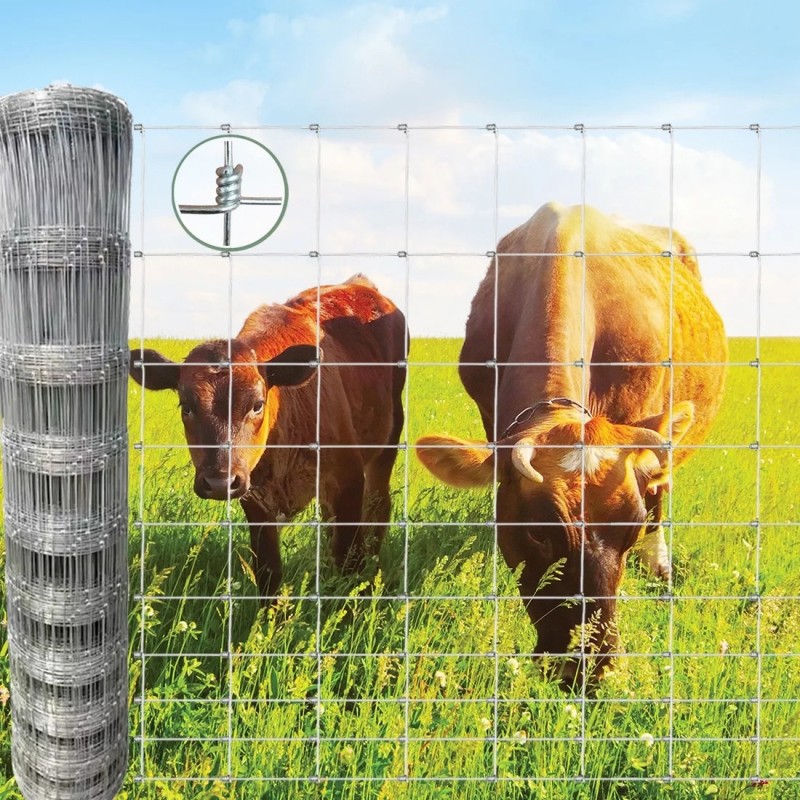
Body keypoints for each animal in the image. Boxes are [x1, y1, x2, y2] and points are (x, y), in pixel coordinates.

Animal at [130, 274, 407, 601]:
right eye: (186, 406)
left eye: (257, 404)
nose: (219, 482)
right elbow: (269, 573)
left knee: (378, 507)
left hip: (386, 445)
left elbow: (349, 561)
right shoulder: (255, 500)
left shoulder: (348, 481)